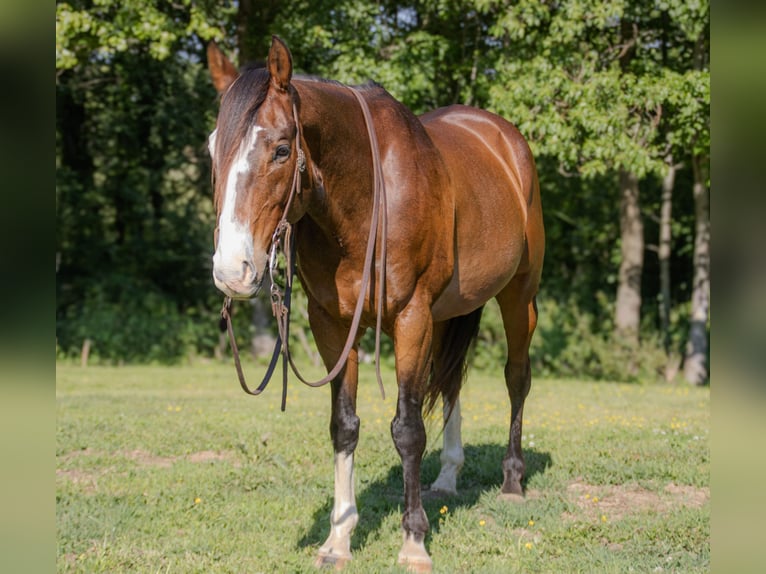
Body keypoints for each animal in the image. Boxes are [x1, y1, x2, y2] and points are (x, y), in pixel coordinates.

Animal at [206, 36, 544, 572]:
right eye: (212, 148)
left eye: (281, 149)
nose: (231, 271)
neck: (365, 198)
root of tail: (504, 139)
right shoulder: (331, 325)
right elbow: (344, 427)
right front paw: (339, 538)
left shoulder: (411, 318)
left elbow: (407, 429)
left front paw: (414, 541)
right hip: (448, 313)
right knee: (451, 382)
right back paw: (447, 477)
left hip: (518, 295)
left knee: (516, 377)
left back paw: (512, 480)